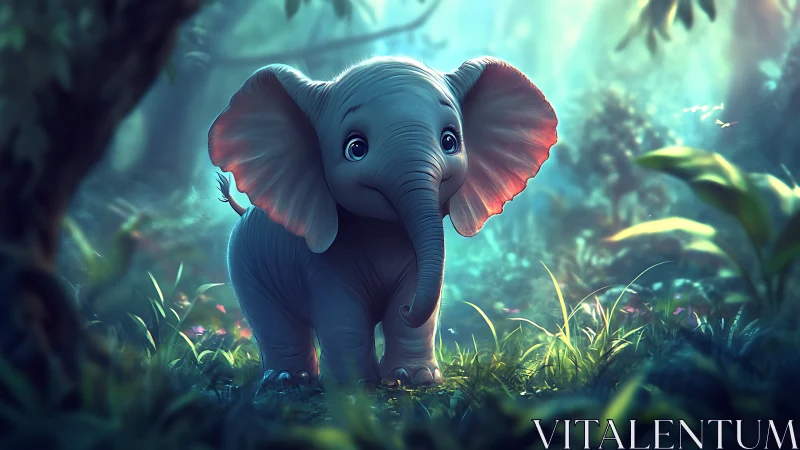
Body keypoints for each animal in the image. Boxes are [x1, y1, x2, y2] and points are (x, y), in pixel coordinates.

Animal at [208, 56, 558, 388]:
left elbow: (415, 298)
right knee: (272, 320)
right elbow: (341, 311)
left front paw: (416, 378)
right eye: (355, 148)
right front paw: (353, 385)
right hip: (243, 262)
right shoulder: (321, 263)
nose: (408, 310)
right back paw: (286, 380)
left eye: (449, 141)